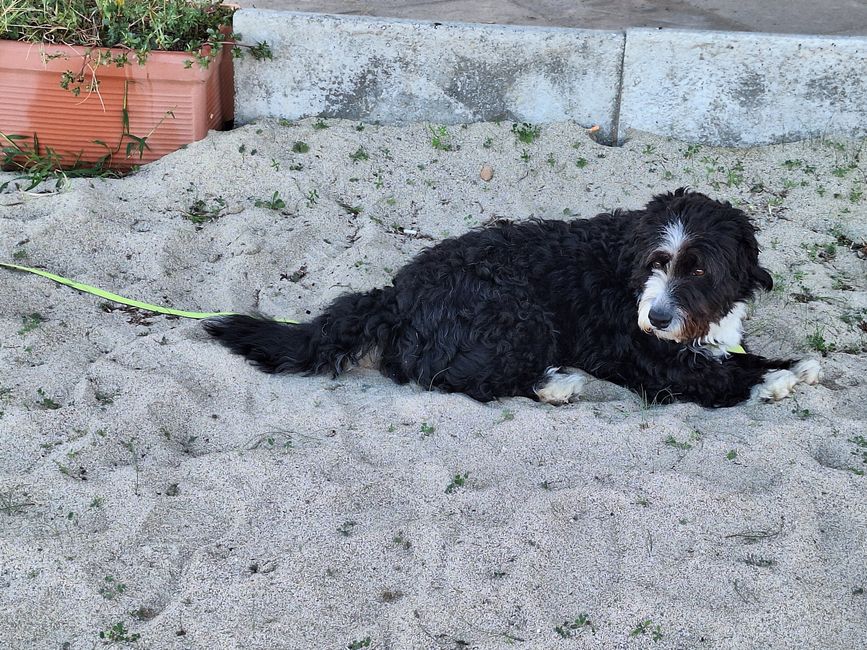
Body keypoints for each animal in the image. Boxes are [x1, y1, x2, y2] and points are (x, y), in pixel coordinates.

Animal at [203, 187, 820, 404]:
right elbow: (713, 376)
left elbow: (734, 353)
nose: (660, 316)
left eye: (699, 269)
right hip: (518, 318)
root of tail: (397, 293)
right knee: (456, 379)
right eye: (657, 262)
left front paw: (792, 364)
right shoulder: (646, 359)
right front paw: (771, 380)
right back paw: (556, 385)